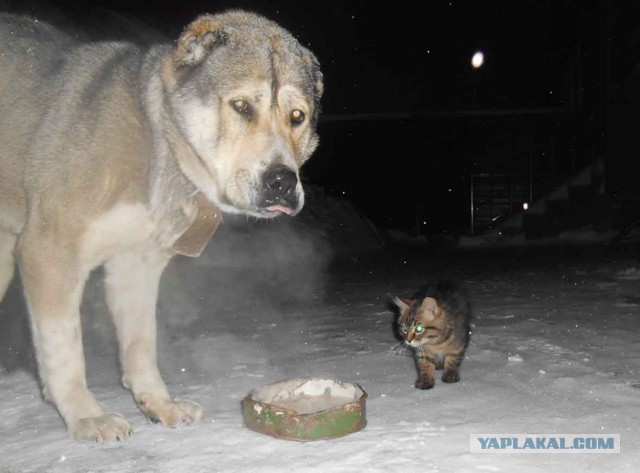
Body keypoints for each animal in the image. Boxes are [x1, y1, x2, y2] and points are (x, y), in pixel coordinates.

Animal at [0, 9, 322, 440]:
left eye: (297, 117)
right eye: (241, 106)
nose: (282, 182)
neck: (158, 140)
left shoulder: (136, 265)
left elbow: (140, 343)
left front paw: (159, 405)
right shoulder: (49, 252)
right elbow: (64, 351)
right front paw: (85, 416)